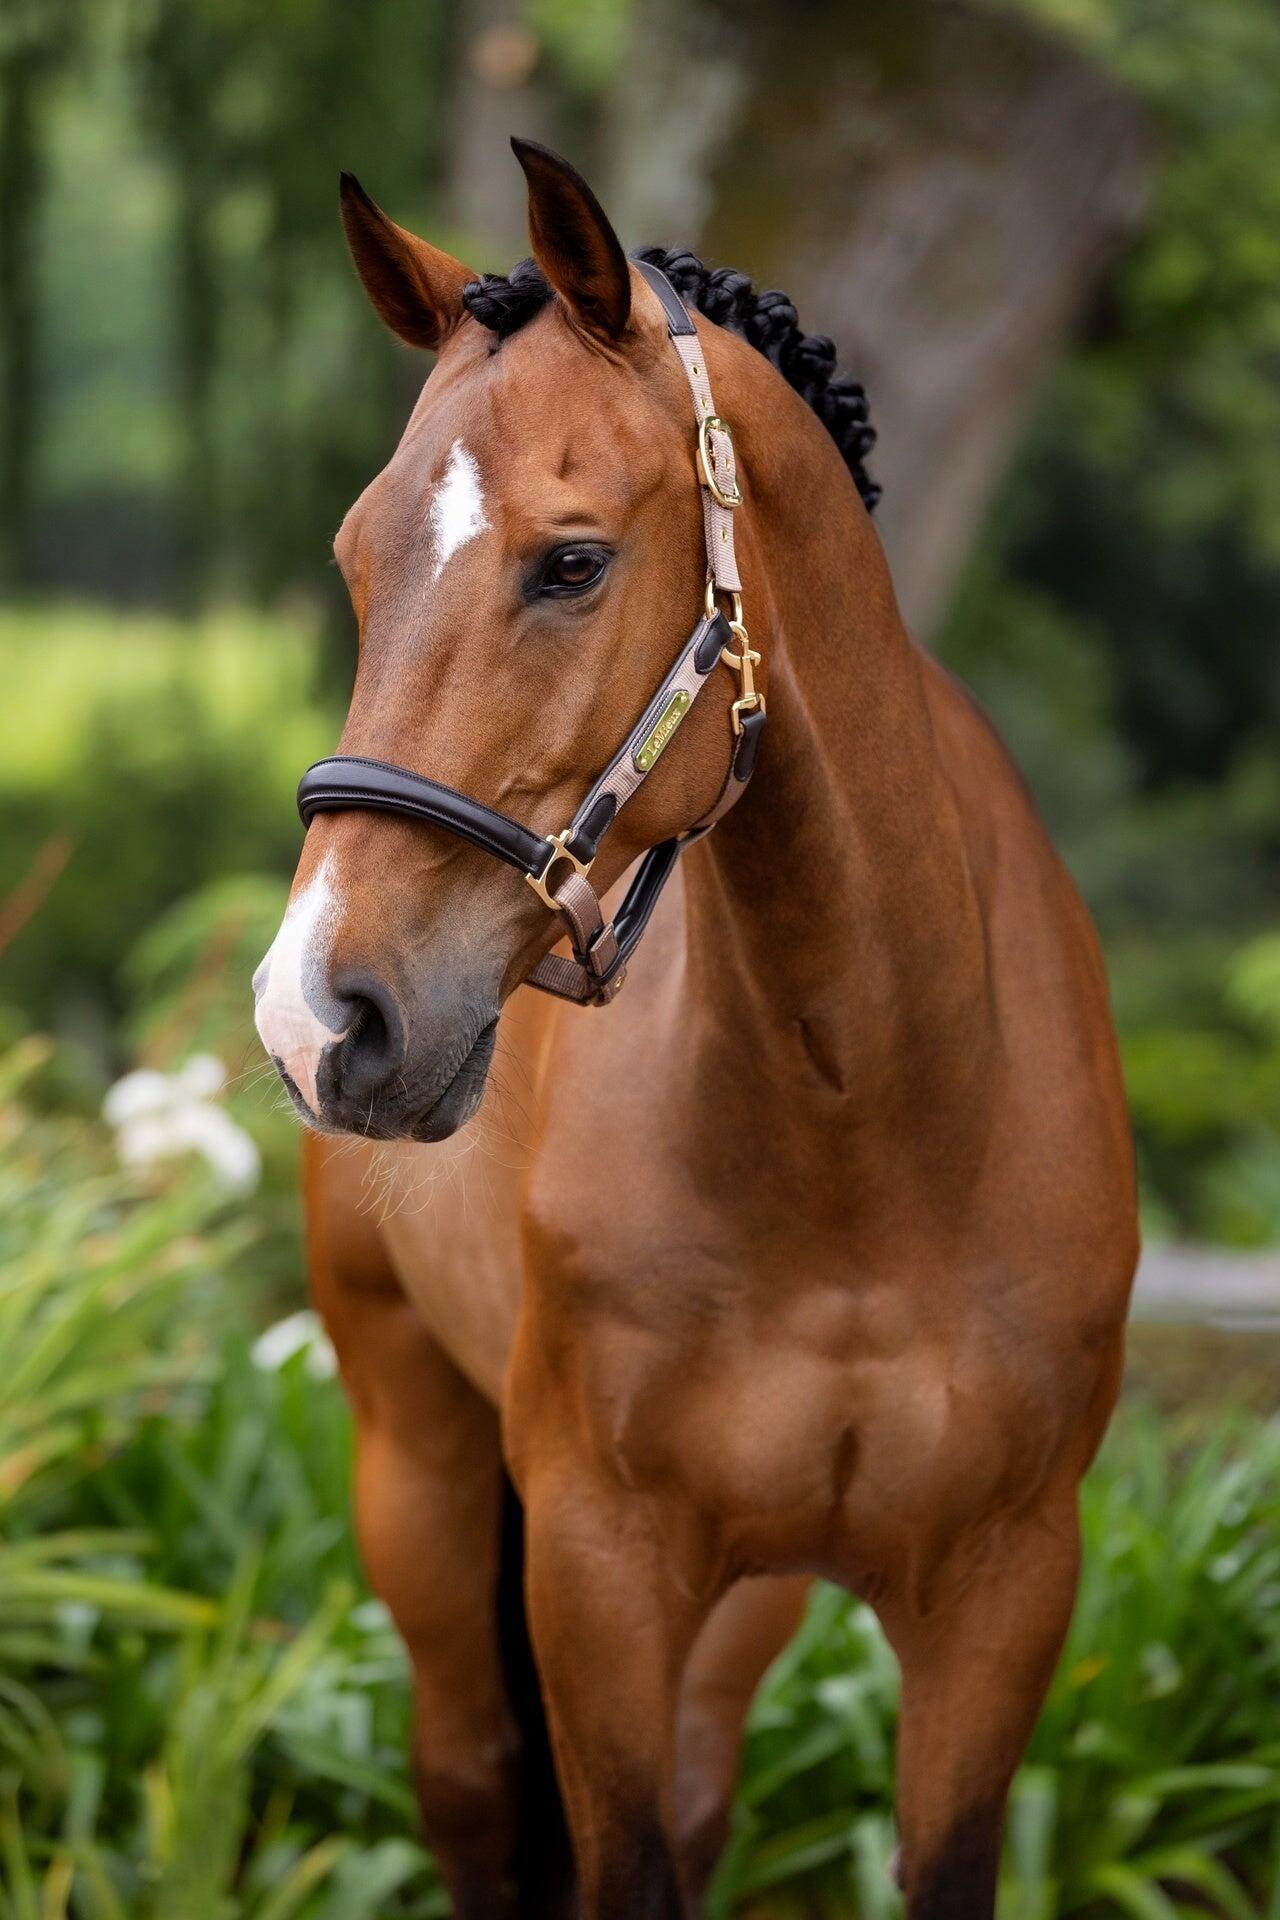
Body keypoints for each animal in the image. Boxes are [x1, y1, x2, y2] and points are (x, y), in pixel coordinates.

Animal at [253, 139, 1138, 1920]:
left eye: (572, 560)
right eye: (359, 560)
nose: (319, 1016)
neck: (874, 1118)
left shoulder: (1004, 1590)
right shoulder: (600, 1567)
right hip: (419, 1477)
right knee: (470, 1784)